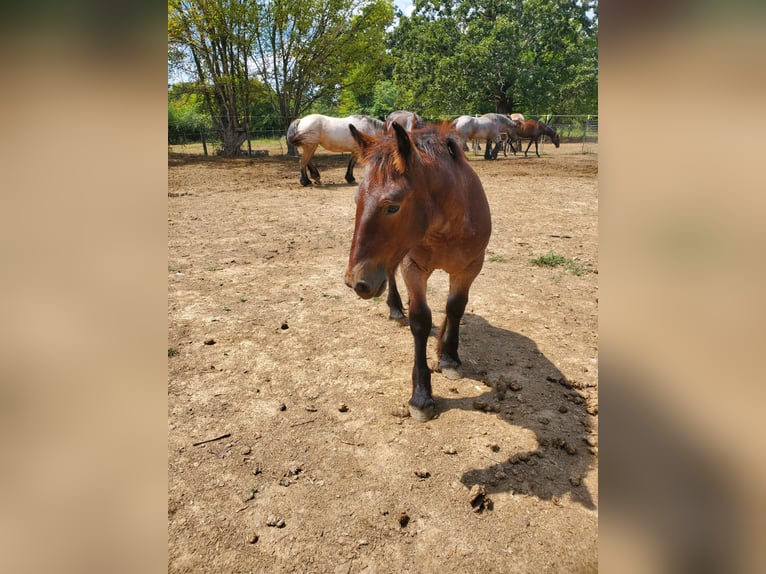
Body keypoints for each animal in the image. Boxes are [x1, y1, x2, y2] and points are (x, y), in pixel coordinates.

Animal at [346, 124, 492, 424]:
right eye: (357, 199)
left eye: (392, 206)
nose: (356, 282)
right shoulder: (413, 269)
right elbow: (421, 320)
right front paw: (422, 396)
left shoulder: (470, 268)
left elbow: (455, 308)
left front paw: (448, 356)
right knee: (390, 277)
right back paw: (395, 309)